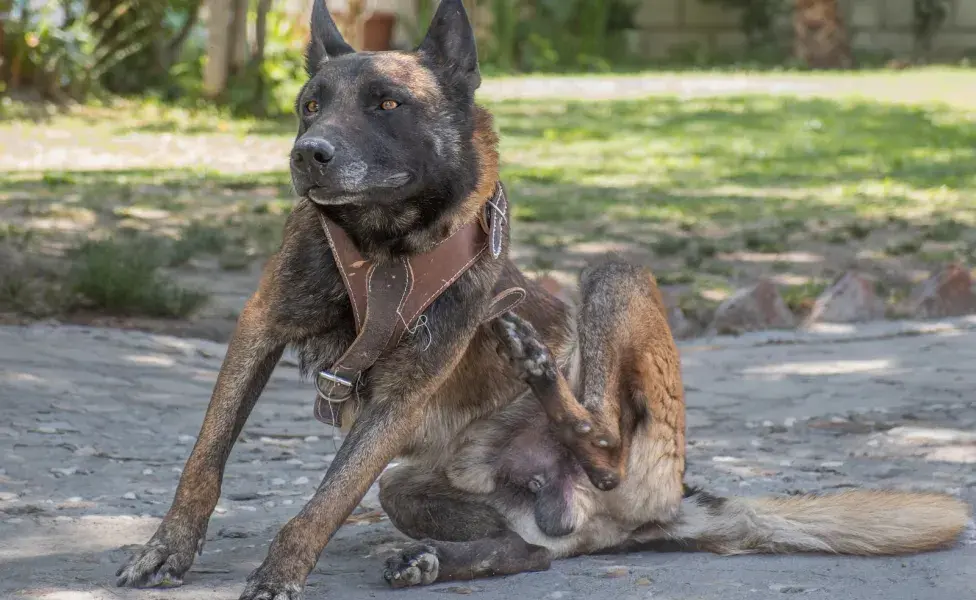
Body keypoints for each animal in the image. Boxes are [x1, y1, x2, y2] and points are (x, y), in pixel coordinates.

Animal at [114, 2, 968, 596]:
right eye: (308, 105)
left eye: (388, 104)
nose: (306, 155)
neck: (385, 250)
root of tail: (665, 506)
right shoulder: (259, 330)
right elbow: (206, 458)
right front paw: (168, 548)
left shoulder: (401, 393)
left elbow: (325, 498)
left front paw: (282, 569)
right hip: (409, 486)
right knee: (530, 553)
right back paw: (436, 557)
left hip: (616, 282)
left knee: (609, 446)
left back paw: (547, 382)